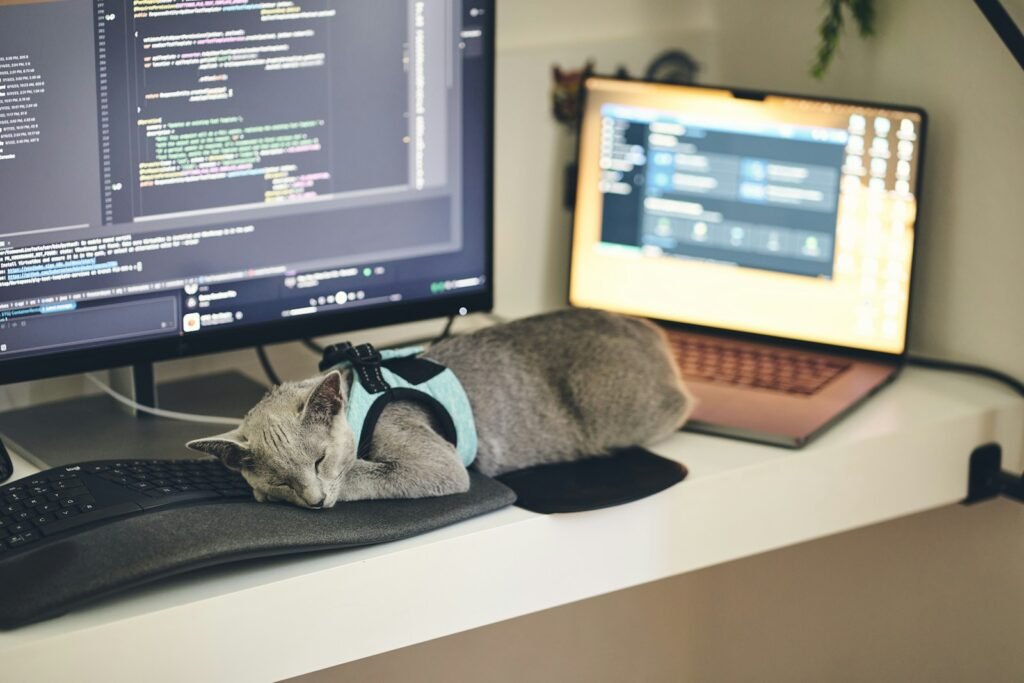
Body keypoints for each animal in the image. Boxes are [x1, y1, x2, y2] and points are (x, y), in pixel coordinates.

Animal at [187, 309, 692, 507]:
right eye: (280, 479)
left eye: (319, 459)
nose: (313, 499)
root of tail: (642, 325)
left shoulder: (432, 458)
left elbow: (363, 473)